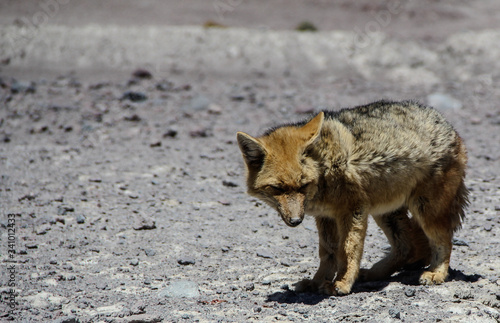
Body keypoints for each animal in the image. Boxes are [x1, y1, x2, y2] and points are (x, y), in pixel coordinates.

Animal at [235, 100, 468, 296]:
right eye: (277, 188)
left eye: (303, 185)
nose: (295, 221)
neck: (324, 167)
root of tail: (452, 128)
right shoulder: (325, 217)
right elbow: (328, 252)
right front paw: (317, 282)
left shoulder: (353, 209)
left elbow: (347, 249)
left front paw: (342, 282)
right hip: (386, 213)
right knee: (408, 247)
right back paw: (374, 273)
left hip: (425, 210)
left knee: (443, 240)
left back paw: (437, 273)